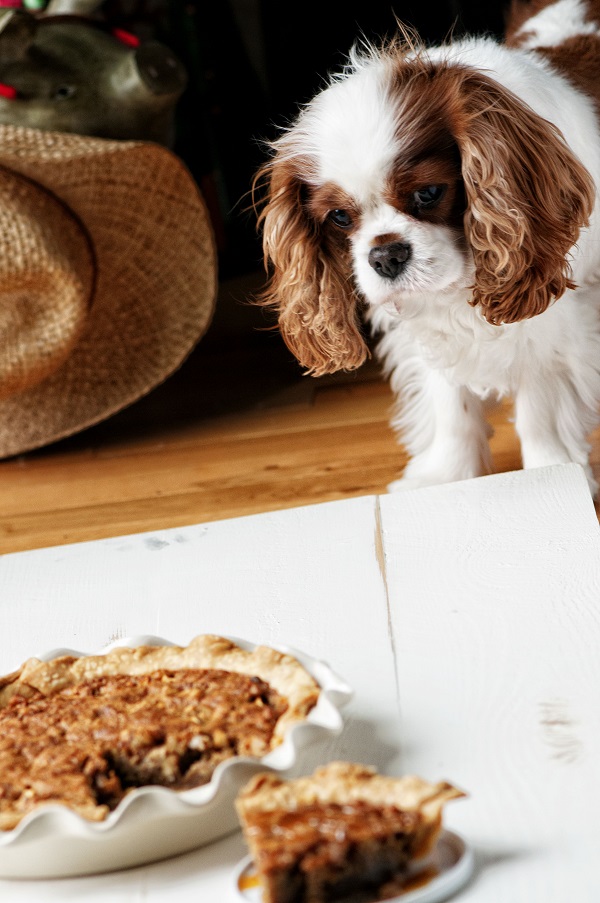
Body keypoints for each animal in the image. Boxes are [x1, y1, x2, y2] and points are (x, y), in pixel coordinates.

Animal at [255, 0, 600, 494]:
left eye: (428, 193)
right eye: (339, 217)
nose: (385, 256)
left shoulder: (555, 324)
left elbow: (540, 405)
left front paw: (552, 476)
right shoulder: (427, 328)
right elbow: (449, 404)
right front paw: (445, 478)